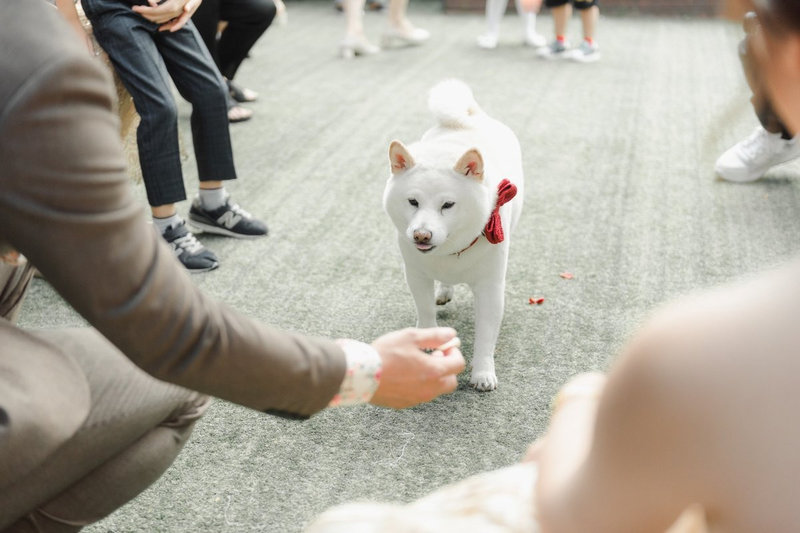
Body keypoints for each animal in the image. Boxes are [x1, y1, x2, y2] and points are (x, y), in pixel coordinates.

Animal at [382, 79, 524, 388]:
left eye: (447, 205)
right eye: (413, 202)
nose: (421, 235)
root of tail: (469, 117)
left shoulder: (490, 288)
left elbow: (486, 336)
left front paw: (482, 372)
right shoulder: (417, 276)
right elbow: (425, 313)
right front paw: (426, 343)